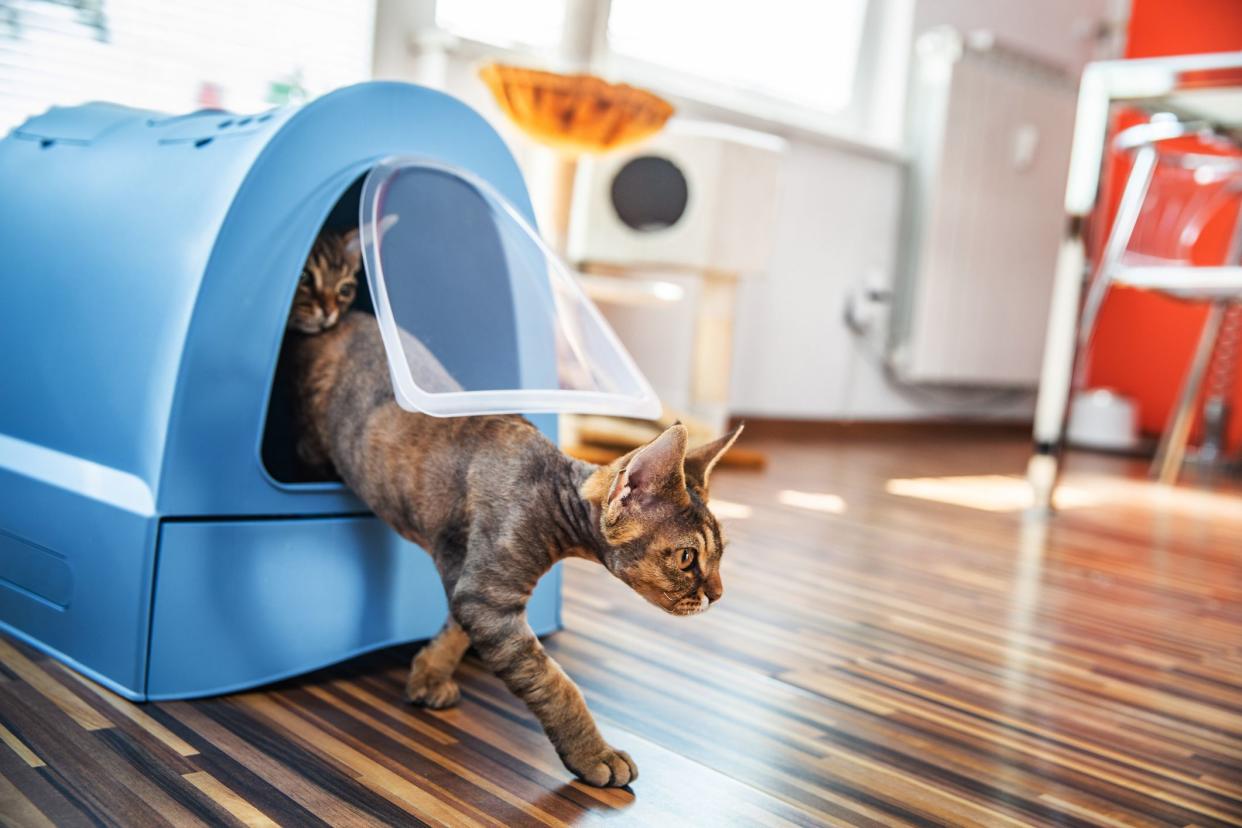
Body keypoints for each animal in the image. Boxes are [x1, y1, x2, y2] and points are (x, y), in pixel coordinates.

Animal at [290, 307, 735, 789]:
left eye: (720, 555)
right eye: (687, 558)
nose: (718, 595)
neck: (550, 489)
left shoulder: (468, 578)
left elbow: (455, 629)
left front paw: (428, 674)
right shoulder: (488, 597)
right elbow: (554, 682)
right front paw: (594, 753)